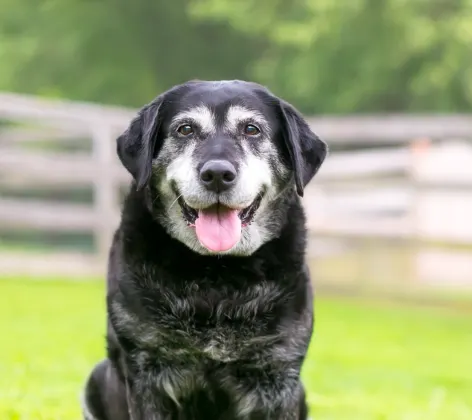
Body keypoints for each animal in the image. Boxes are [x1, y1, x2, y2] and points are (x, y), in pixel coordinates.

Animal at [83, 79, 326, 420]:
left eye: (251, 129)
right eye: (185, 129)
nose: (217, 174)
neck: (218, 273)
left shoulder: (278, 373)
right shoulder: (147, 370)